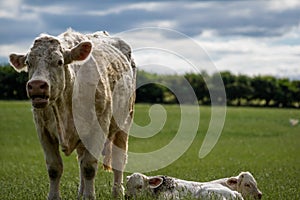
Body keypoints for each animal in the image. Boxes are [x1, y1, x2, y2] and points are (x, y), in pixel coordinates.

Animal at [8, 28, 136, 199]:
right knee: (81, 159)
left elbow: (89, 168)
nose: (36, 85)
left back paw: (117, 192)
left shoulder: (98, 128)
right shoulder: (43, 131)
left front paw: (89, 197)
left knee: (118, 160)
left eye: (59, 62)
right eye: (28, 63)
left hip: (124, 122)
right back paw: (80, 193)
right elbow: (54, 168)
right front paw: (54, 196)